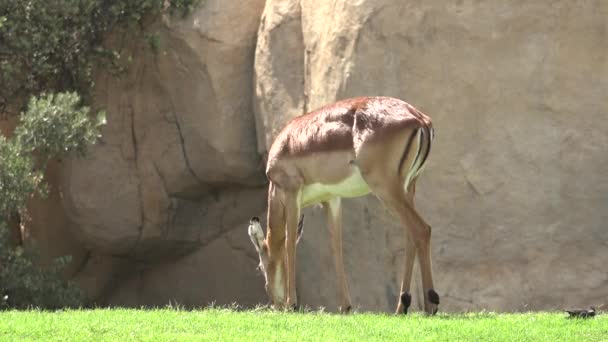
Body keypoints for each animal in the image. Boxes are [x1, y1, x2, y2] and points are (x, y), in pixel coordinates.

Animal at [247, 96, 436, 316]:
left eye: (260, 267)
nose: (274, 304)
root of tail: (420, 119)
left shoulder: (292, 193)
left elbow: (289, 244)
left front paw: (291, 304)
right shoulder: (332, 199)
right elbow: (336, 248)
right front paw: (345, 307)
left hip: (386, 188)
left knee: (422, 229)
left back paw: (431, 304)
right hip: (408, 189)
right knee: (410, 235)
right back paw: (402, 307)